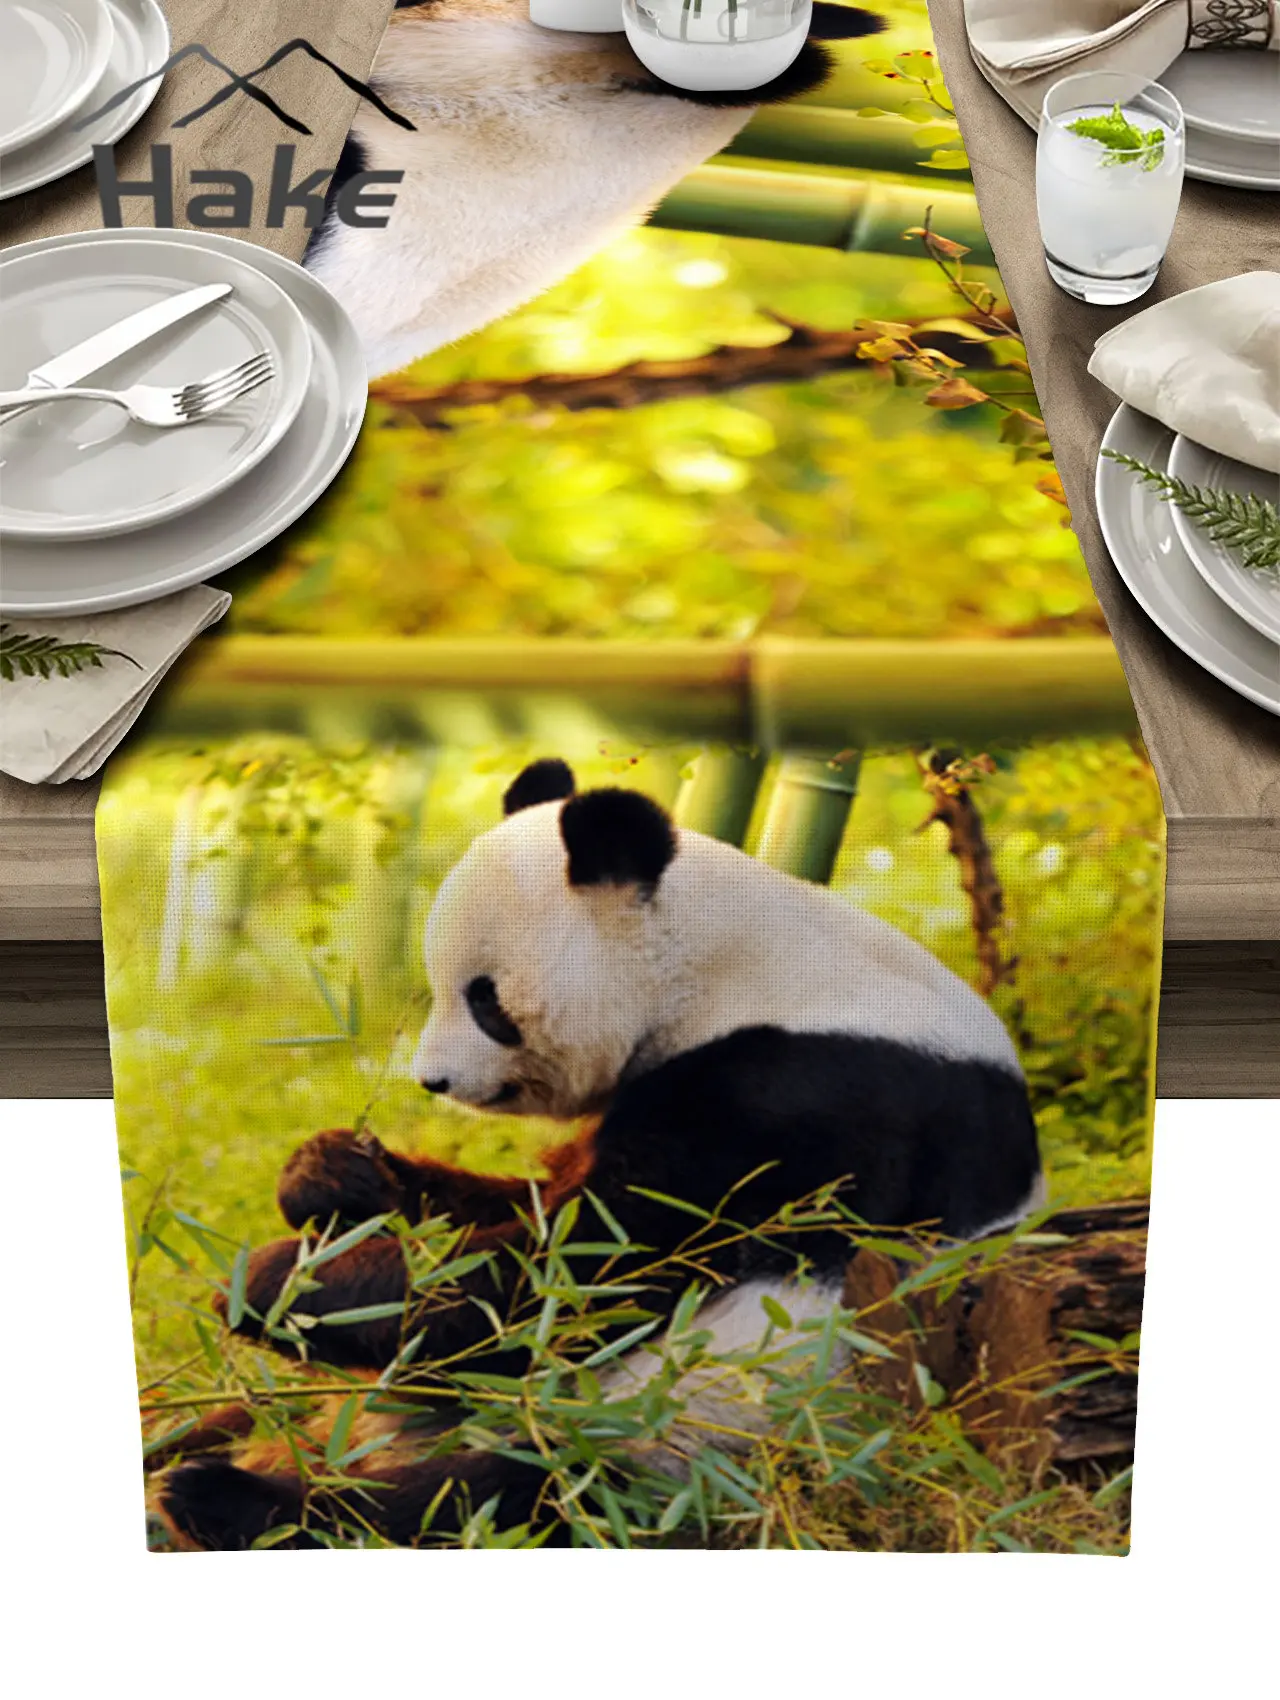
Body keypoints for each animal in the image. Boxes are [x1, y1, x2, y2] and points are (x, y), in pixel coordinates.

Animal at [155, 758, 1043, 1551]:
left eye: (485, 999)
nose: (433, 1079)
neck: (724, 968)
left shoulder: (807, 1094)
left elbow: (583, 1271)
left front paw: (271, 1279)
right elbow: (527, 1205)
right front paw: (331, 1172)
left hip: (694, 1432)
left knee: (497, 1500)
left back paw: (228, 1500)